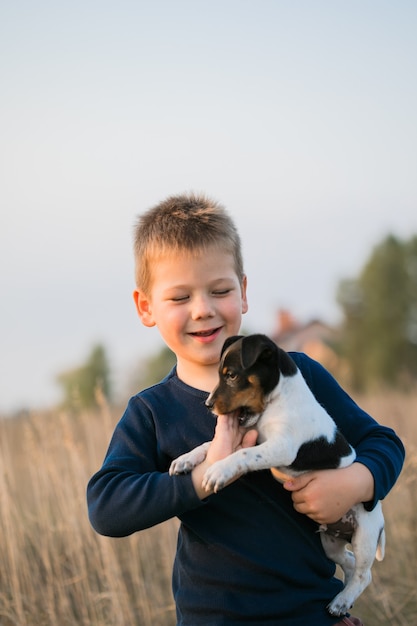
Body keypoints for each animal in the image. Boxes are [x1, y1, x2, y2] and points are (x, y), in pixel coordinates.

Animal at [171, 334, 386, 612]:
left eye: (231, 376)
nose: (207, 405)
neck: (276, 403)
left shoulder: (282, 447)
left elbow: (243, 455)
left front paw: (219, 470)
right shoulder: (252, 438)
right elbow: (209, 446)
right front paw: (186, 459)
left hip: (365, 536)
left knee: (363, 574)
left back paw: (342, 601)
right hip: (331, 543)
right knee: (347, 561)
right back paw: (343, 596)